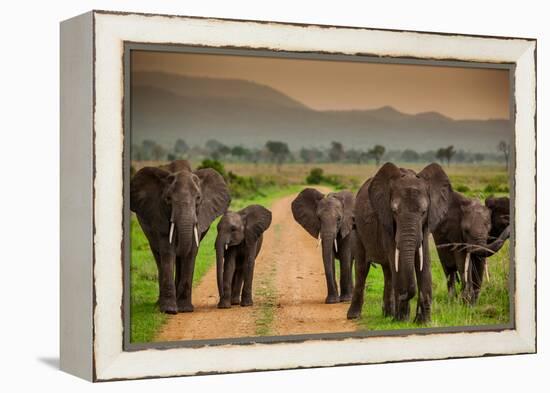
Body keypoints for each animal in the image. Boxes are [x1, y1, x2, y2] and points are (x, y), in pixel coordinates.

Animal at [131, 158, 231, 312]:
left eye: (198, 198)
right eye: (168, 199)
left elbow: (191, 252)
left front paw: (185, 309)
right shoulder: (159, 214)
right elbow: (167, 250)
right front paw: (169, 310)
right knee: (158, 255)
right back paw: (159, 305)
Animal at [350, 162, 452, 322]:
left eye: (424, 212)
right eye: (394, 211)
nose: (404, 294)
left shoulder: (425, 224)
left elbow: (424, 261)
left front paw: (423, 322)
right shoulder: (386, 222)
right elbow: (396, 261)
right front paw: (402, 320)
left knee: (388, 272)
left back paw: (388, 315)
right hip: (358, 229)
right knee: (362, 267)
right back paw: (354, 316)